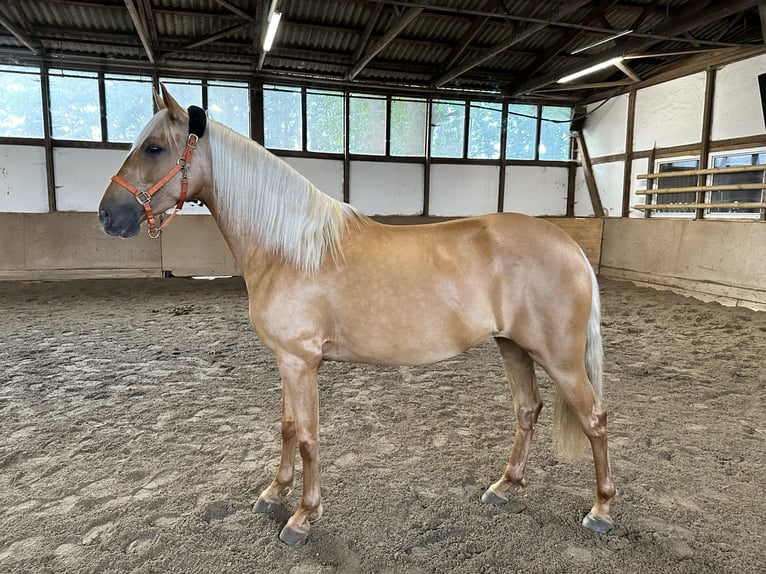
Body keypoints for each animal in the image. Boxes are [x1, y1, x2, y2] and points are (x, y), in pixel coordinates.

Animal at [100, 86, 616, 548]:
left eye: (153, 147)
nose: (107, 216)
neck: (289, 248)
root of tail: (570, 246)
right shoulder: (286, 361)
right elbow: (287, 427)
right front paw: (274, 494)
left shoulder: (301, 362)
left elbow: (308, 436)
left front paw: (302, 517)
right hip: (513, 348)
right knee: (528, 410)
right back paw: (505, 487)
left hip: (560, 358)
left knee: (594, 418)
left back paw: (601, 511)